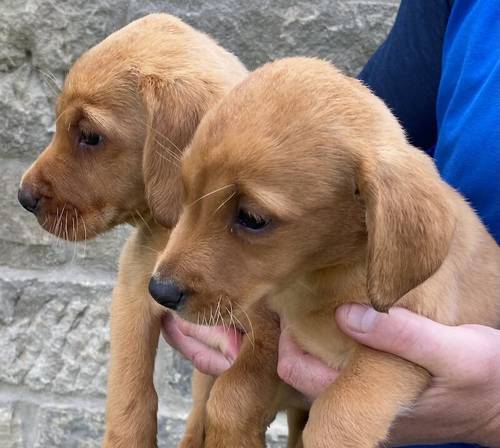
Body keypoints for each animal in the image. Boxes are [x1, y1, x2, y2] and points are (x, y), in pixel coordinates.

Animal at [151, 57, 500, 446]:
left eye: (253, 219)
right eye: (186, 192)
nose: (159, 291)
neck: (323, 278)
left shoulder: (396, 352)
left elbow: (338, 413)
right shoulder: (273, 336)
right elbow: (232, 393)